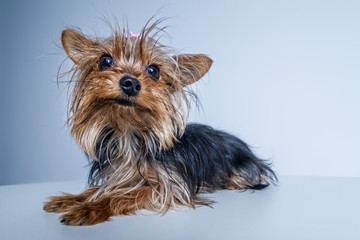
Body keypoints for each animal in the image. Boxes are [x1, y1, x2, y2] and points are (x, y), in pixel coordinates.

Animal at [44, 18, 276, 225]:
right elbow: (98, 189)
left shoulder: (167, 187)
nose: (130, 83)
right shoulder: (117, 176)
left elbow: (122, 195)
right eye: (105, 61)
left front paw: (89, 209)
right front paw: (70, 200)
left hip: (243, 166)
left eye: (154, 71)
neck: (129, 134)